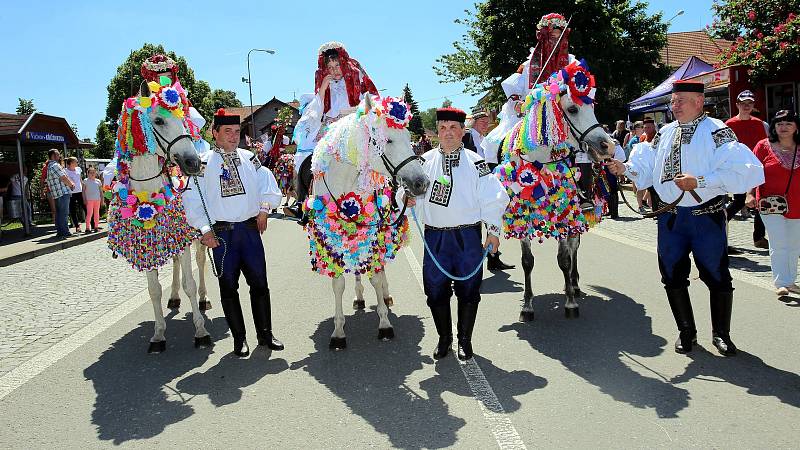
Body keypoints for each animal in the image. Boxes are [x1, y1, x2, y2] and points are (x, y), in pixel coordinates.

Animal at [108, 79, 211, 354]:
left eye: (185, 120)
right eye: (158, 120)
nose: (193, 163)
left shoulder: (183, 237)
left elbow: (190, 284)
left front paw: (200, 331)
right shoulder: (148, 246)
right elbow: (153, 290)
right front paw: (158, 335)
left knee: (200, 263)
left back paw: (204, 299)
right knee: (174, 265)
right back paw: (173, 298)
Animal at [308, 94, 432, 348]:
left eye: (409, 138)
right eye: (388, 140)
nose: (420, 183)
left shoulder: (373, 231)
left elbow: (375, 275)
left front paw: (384, 323)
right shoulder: (332, 239)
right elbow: (338, 284)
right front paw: (338, 332)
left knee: (380, 267)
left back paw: (385, 295)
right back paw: (359, 297)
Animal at [496, 59, 616, 320]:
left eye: (592, 108)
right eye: (572, 109)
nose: (607, 146)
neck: (538, 162)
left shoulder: (565, 215)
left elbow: (564, 259)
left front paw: (570, 303)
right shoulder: (522, 217)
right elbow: (527, 261)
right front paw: (527, 307)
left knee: (573, 249)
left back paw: (574, 285)